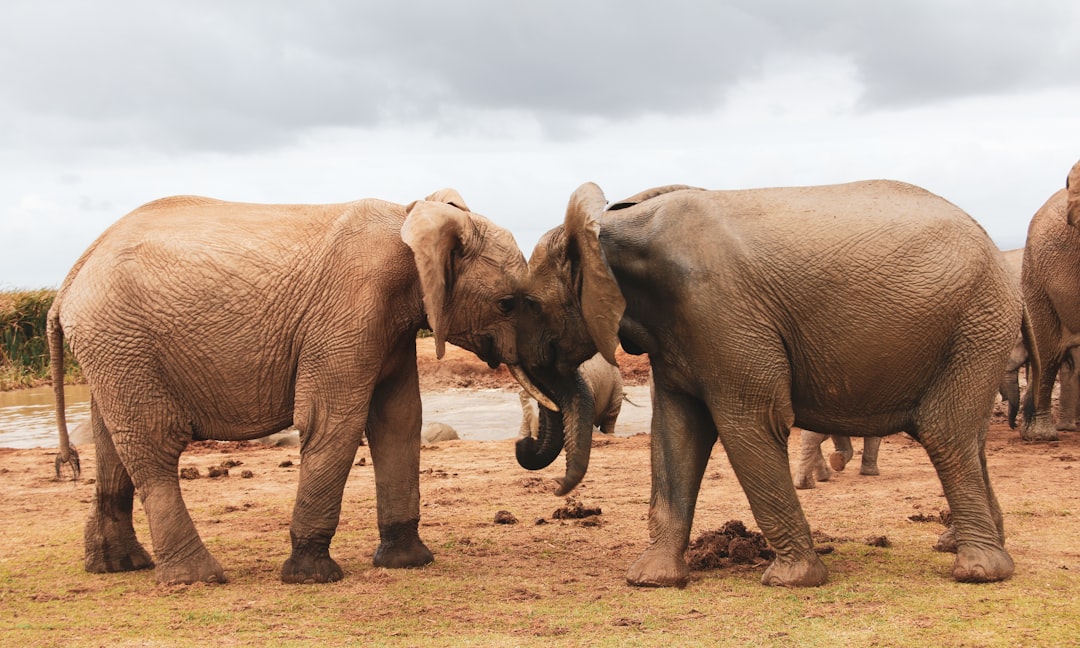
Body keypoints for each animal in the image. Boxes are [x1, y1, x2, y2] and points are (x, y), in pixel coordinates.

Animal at [48, 184, 529, 583]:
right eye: (507, 304)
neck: (411, 217)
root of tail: (69, 278)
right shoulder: (351, 306)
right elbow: (333, 420)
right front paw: (311, 576)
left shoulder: (390, 324)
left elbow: (399, 419)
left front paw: (410, 563)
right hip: (121, 339)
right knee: (154, 442)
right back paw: (198, 578)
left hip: (113, 350)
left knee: (112, 445)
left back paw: (118, 566)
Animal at [509, 179, 1015, 591]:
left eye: (526, 304)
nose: (555, 490)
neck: (613, 225)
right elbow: (677, 431)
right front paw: (650, 580)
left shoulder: (719, 309)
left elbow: (749, 422)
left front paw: (792, 581)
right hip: (977, 331)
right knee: (970, 440)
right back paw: (963, 548)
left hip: (974, 326)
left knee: (945, 433)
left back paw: (978, 572)